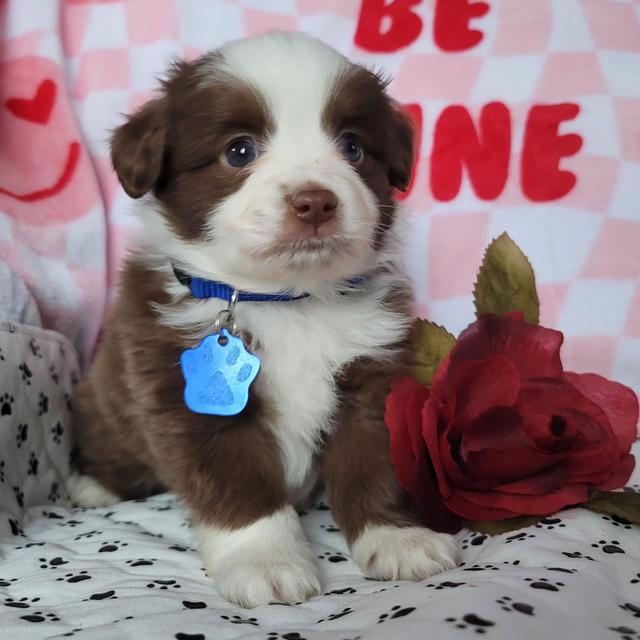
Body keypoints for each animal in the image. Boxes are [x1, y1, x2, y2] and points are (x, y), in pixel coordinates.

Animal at [70, 32, 458, 608]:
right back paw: (96, 484)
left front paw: (398, 538)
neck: (286, 301)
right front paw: (266, 561)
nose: (315, 202)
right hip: (105, 399)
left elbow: (376, 464)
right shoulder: (185, 394)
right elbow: (238, 483)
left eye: (353, 147)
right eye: (239, 151)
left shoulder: (372, 375)